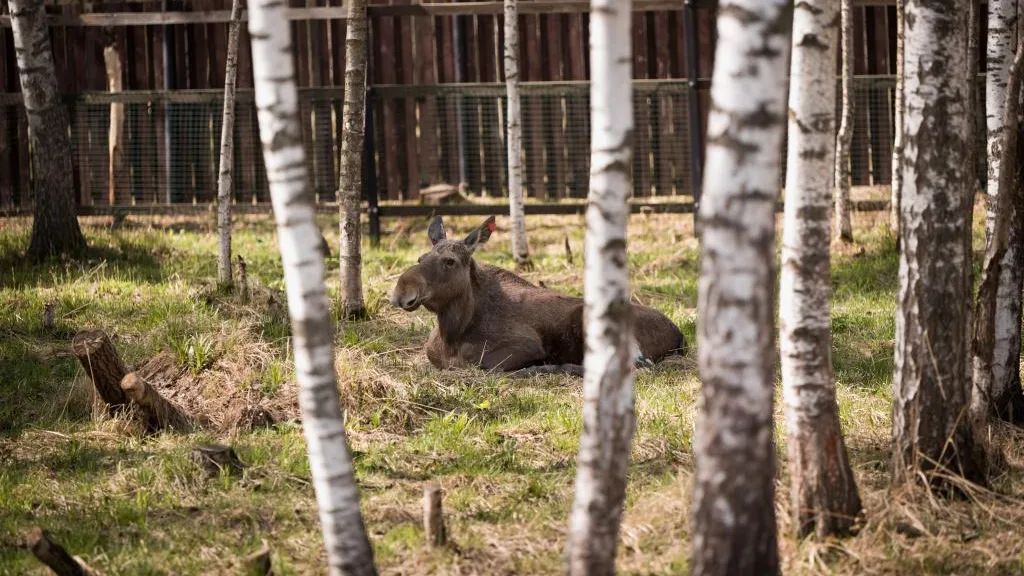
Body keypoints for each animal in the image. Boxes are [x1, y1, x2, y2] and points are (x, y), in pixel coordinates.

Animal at [391, 213, 688, 375]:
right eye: (420, 257)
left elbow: (481, 364)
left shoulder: (526, 344)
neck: (454, 330)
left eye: (450, 261)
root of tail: (679, 334)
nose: (402, 291)